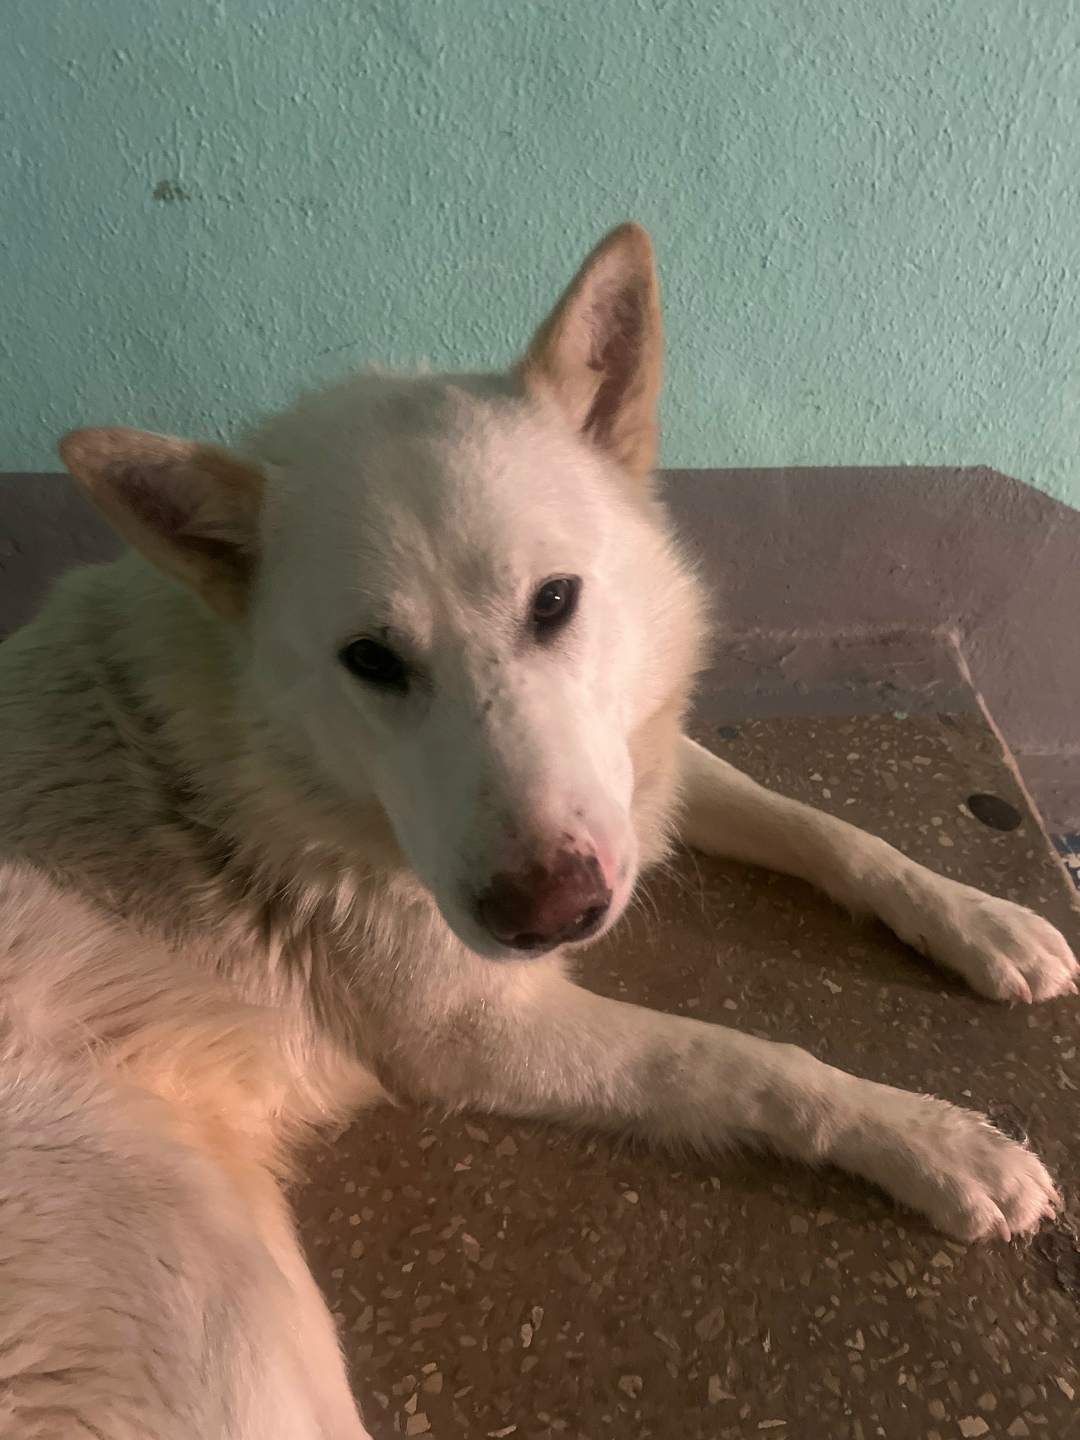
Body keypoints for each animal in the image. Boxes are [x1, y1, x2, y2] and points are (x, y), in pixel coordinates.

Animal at [0, 222, 1076, 1437]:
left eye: (554, 601)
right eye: (371, 660)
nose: (549, 914)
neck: (289, 758)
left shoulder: (631, 774)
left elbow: (828, 832)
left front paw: (980, 920)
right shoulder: (486, 1033)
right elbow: (752, 1059)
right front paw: (937, 1141)